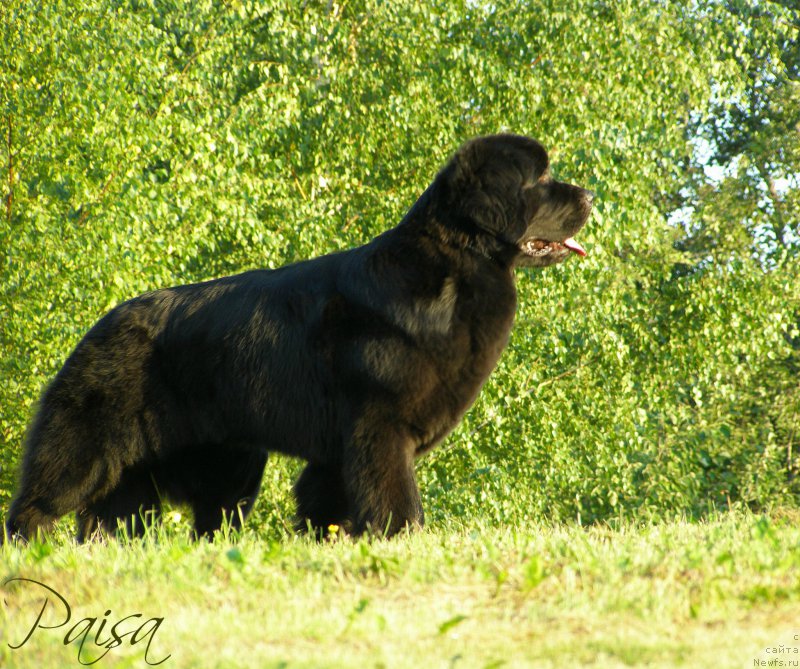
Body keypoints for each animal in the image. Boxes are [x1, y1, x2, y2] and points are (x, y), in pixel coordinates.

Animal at [4, 133, 592, 540]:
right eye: (541, 180)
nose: (589, 194)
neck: (452, 271)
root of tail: (102, 324)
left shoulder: (340, 449)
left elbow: (325, 503)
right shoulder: (380, 425)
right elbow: (395, 498)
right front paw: (404, 539)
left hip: (217, 466)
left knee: (130, 519)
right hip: (86, 442)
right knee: (37, 502)